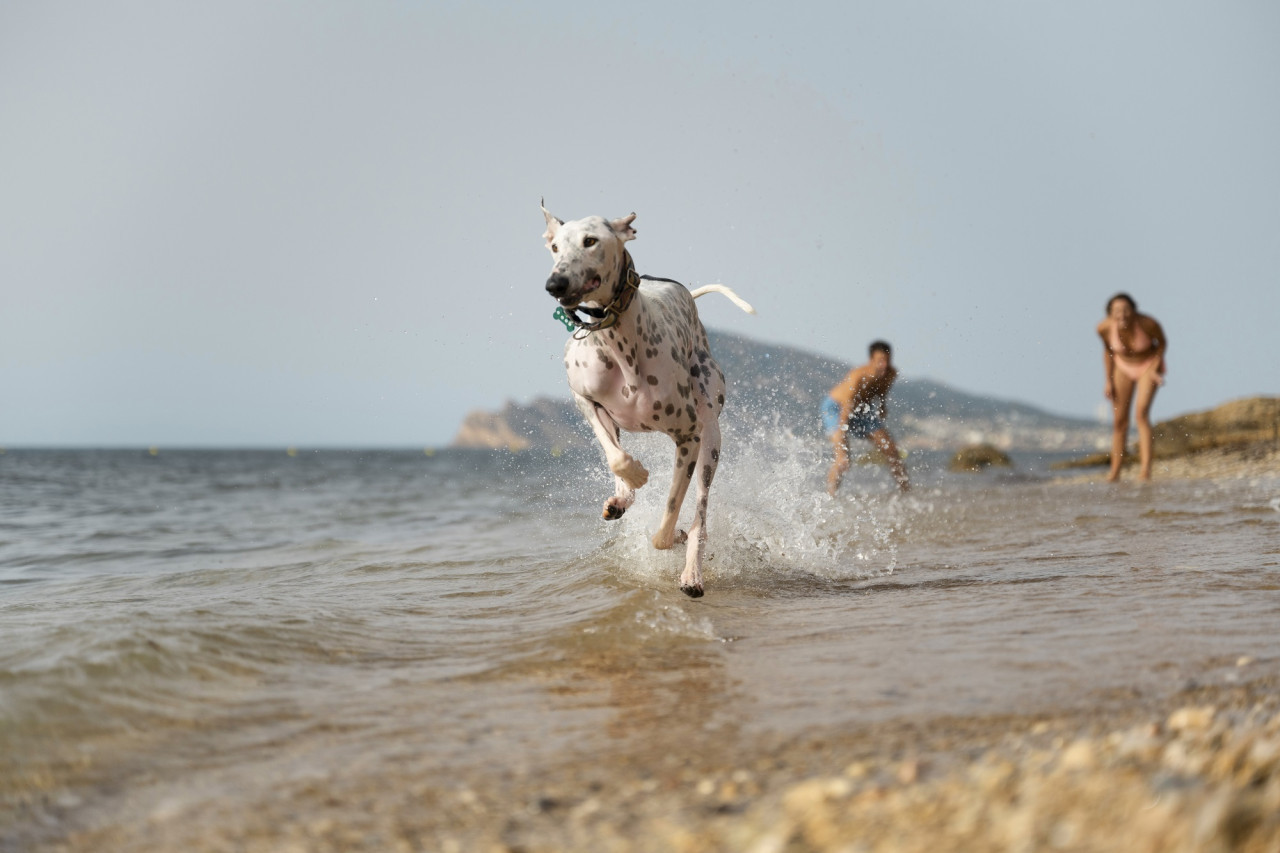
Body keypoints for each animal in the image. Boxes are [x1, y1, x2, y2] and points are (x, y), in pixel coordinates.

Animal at [537, 202, 747, 594]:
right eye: (555, 247)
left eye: (590, 241)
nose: (554, 283)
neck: (617, 341)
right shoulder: (585, 399)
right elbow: (617, 458)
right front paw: (635, 476)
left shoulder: (688, 437)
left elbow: (666, 526)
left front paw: (675, 535)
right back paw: (622, 498)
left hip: (711, 438)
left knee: (700, 515)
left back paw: (691, 570)